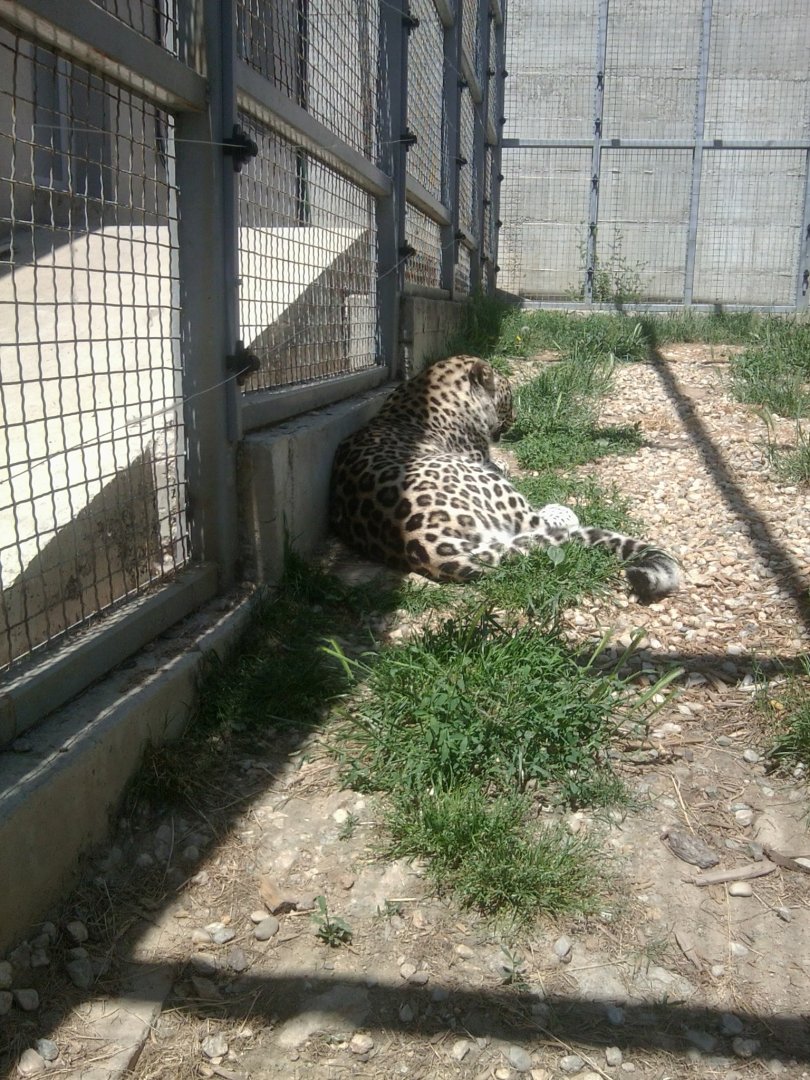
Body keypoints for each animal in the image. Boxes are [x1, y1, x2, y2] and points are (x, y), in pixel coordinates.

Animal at [330, 354, 681, 602]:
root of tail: (430, 546)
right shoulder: (485, 463)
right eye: (509, 395)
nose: (515, 420)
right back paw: (561, 510)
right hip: (490, 488)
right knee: (539, 523)